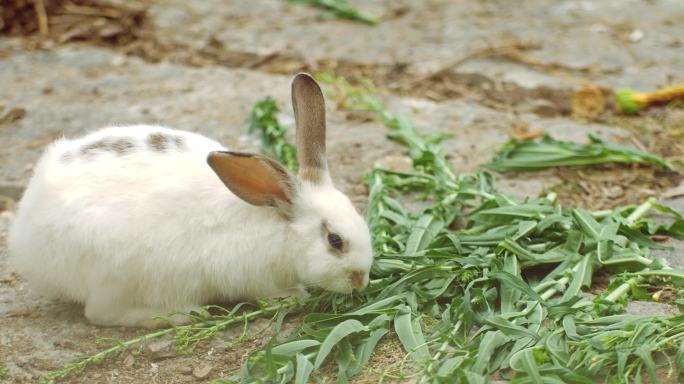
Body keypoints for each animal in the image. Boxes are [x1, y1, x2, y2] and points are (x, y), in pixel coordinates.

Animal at [6, 73, 374, 328]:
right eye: (335, 241)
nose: (361, 281)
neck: (278, 224)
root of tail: (26, 238)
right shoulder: (253, 276)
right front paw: (293, 298)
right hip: (124, 276)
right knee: (101, 313)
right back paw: (183, 316)